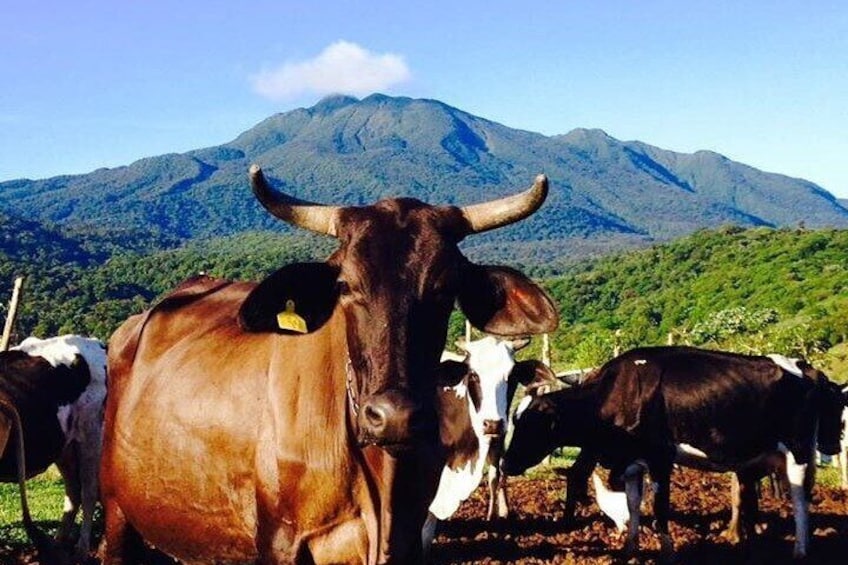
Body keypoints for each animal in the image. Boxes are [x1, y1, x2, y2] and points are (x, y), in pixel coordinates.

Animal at [0, 334, 108, 556]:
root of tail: (94, 342)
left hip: (92, 434)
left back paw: (82, 548)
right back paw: (58, 543)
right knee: (73, 491)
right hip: (65, 448)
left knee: (89, 491)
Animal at [504, 344, 840, 560]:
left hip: (798, 451)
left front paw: (666, 551)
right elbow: (633, 505)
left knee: (800, 500)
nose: (506, 464)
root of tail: (806, 367)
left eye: (531, 424)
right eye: (515, 420)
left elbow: (660, 509)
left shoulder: (660, 458)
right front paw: (629, 549)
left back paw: (800, 550)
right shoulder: (632, 461)